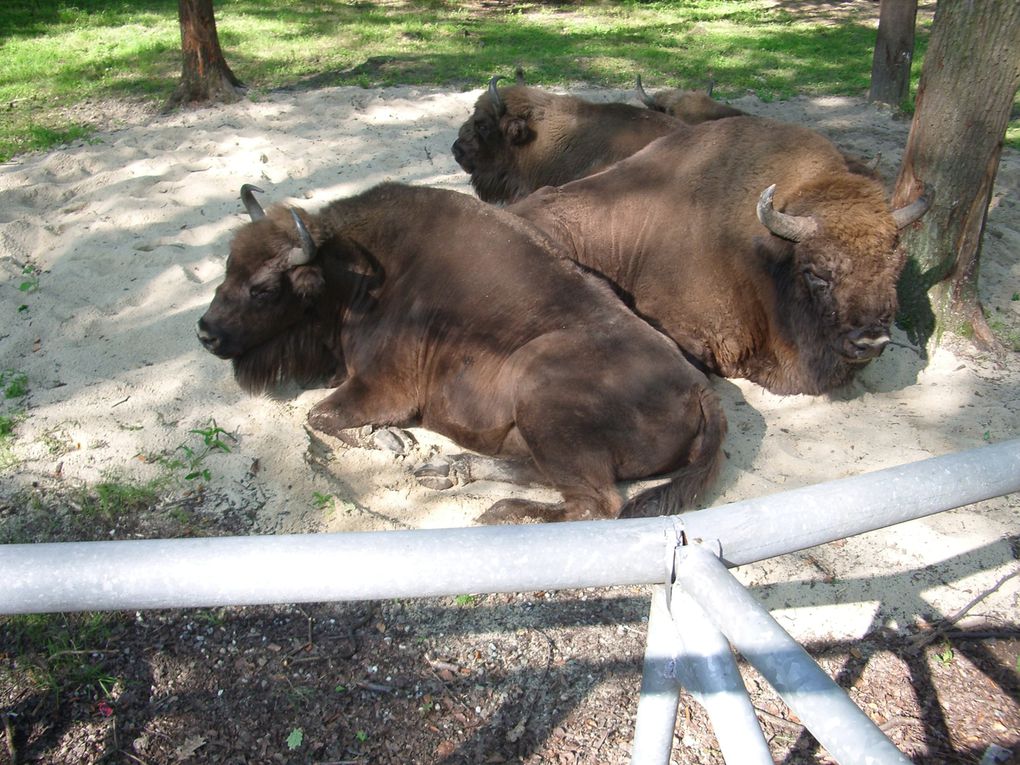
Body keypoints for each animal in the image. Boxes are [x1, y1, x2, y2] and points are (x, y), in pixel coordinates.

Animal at [196, 182, 726, 526]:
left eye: (264, 289)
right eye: (228, 265)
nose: (206, 333)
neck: (355, 278)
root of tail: (699, 388)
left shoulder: (383, 390)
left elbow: (319, 416)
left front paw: (390, 440)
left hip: (540, 391)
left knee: (596, 503)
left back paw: (500, 511)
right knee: (540, 472)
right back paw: (448, 470)